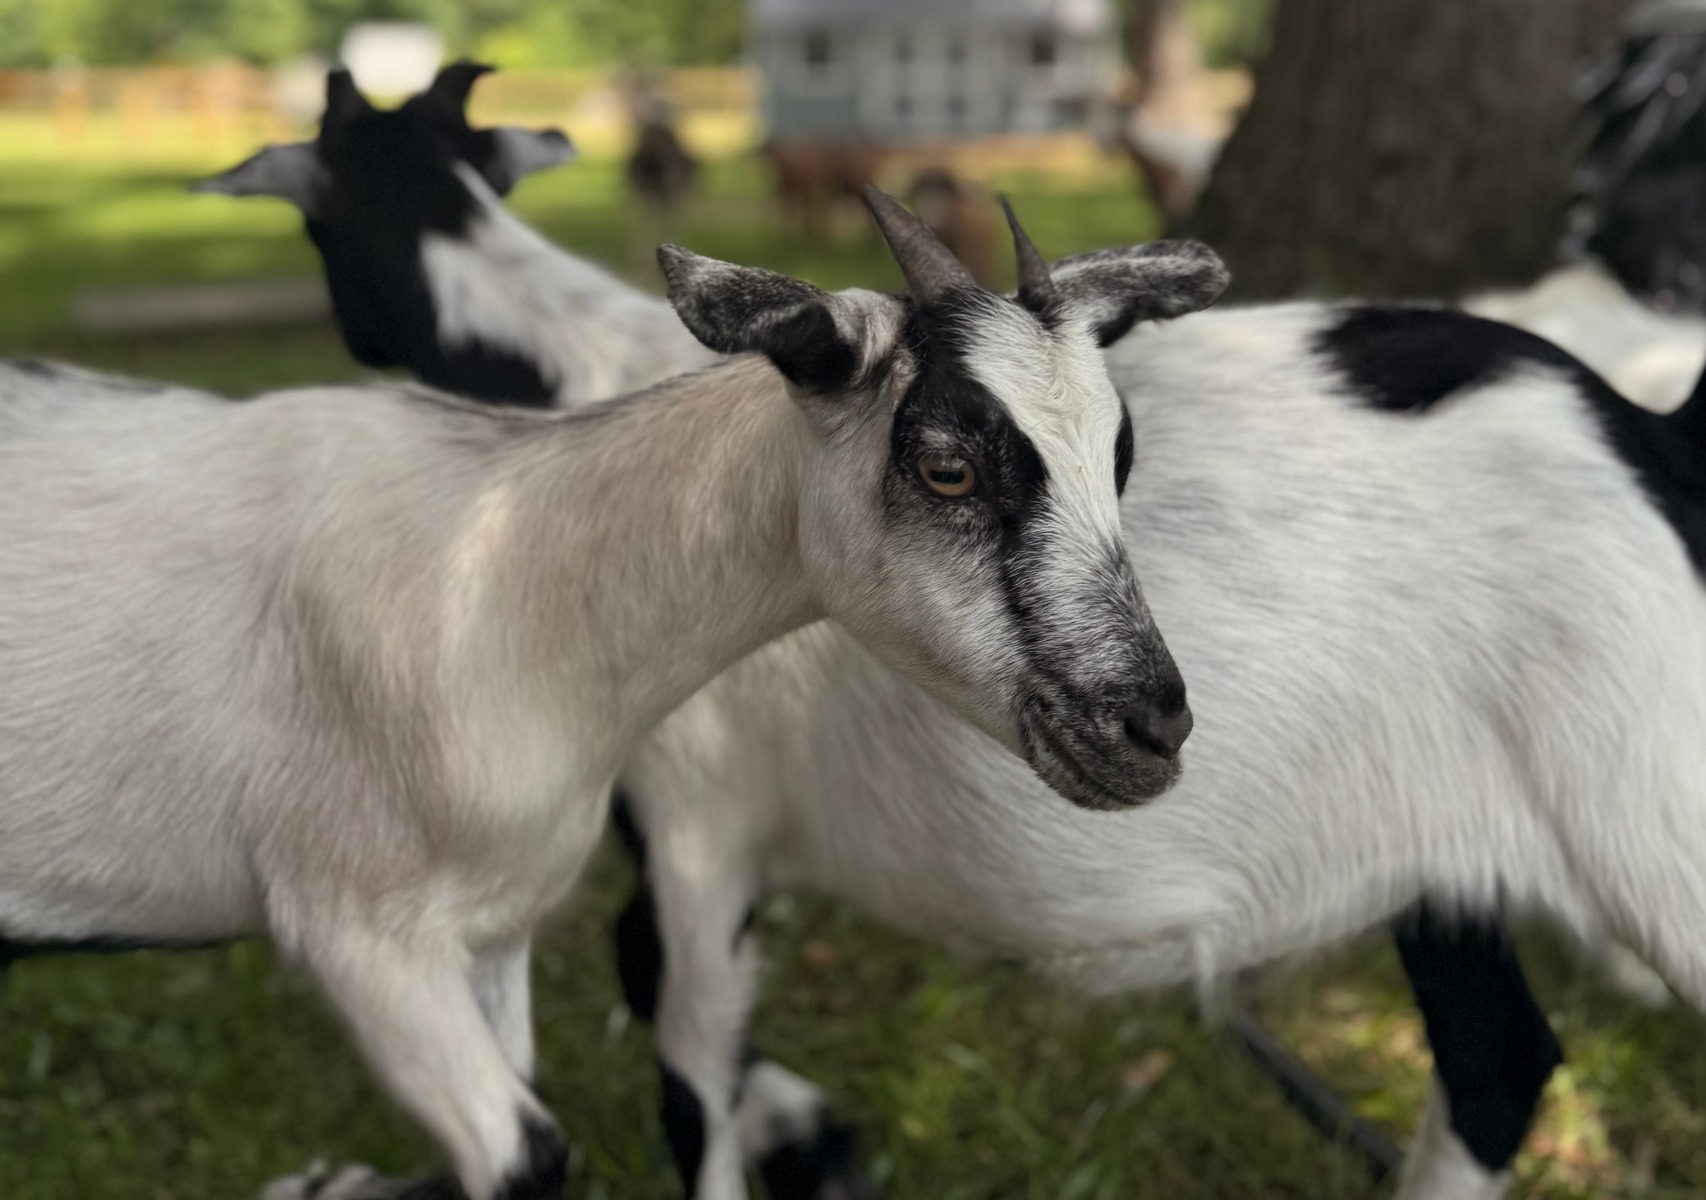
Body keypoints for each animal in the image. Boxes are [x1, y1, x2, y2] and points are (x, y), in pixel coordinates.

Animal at [0, 190, 1225, 1200]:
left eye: (1119, 458)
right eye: (945, 466)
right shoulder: (355, 926)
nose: (1151, 726)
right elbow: (531, 1158)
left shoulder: (490, 930)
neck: (505, 582)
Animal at [204, 67, 1691, 1200]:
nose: (1148, 724)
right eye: (949, 468)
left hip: (1652, 828)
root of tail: (1650, 440)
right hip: (1457, 862)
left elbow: (686, 1066)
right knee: (1496, 1064)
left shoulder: (695, 817)